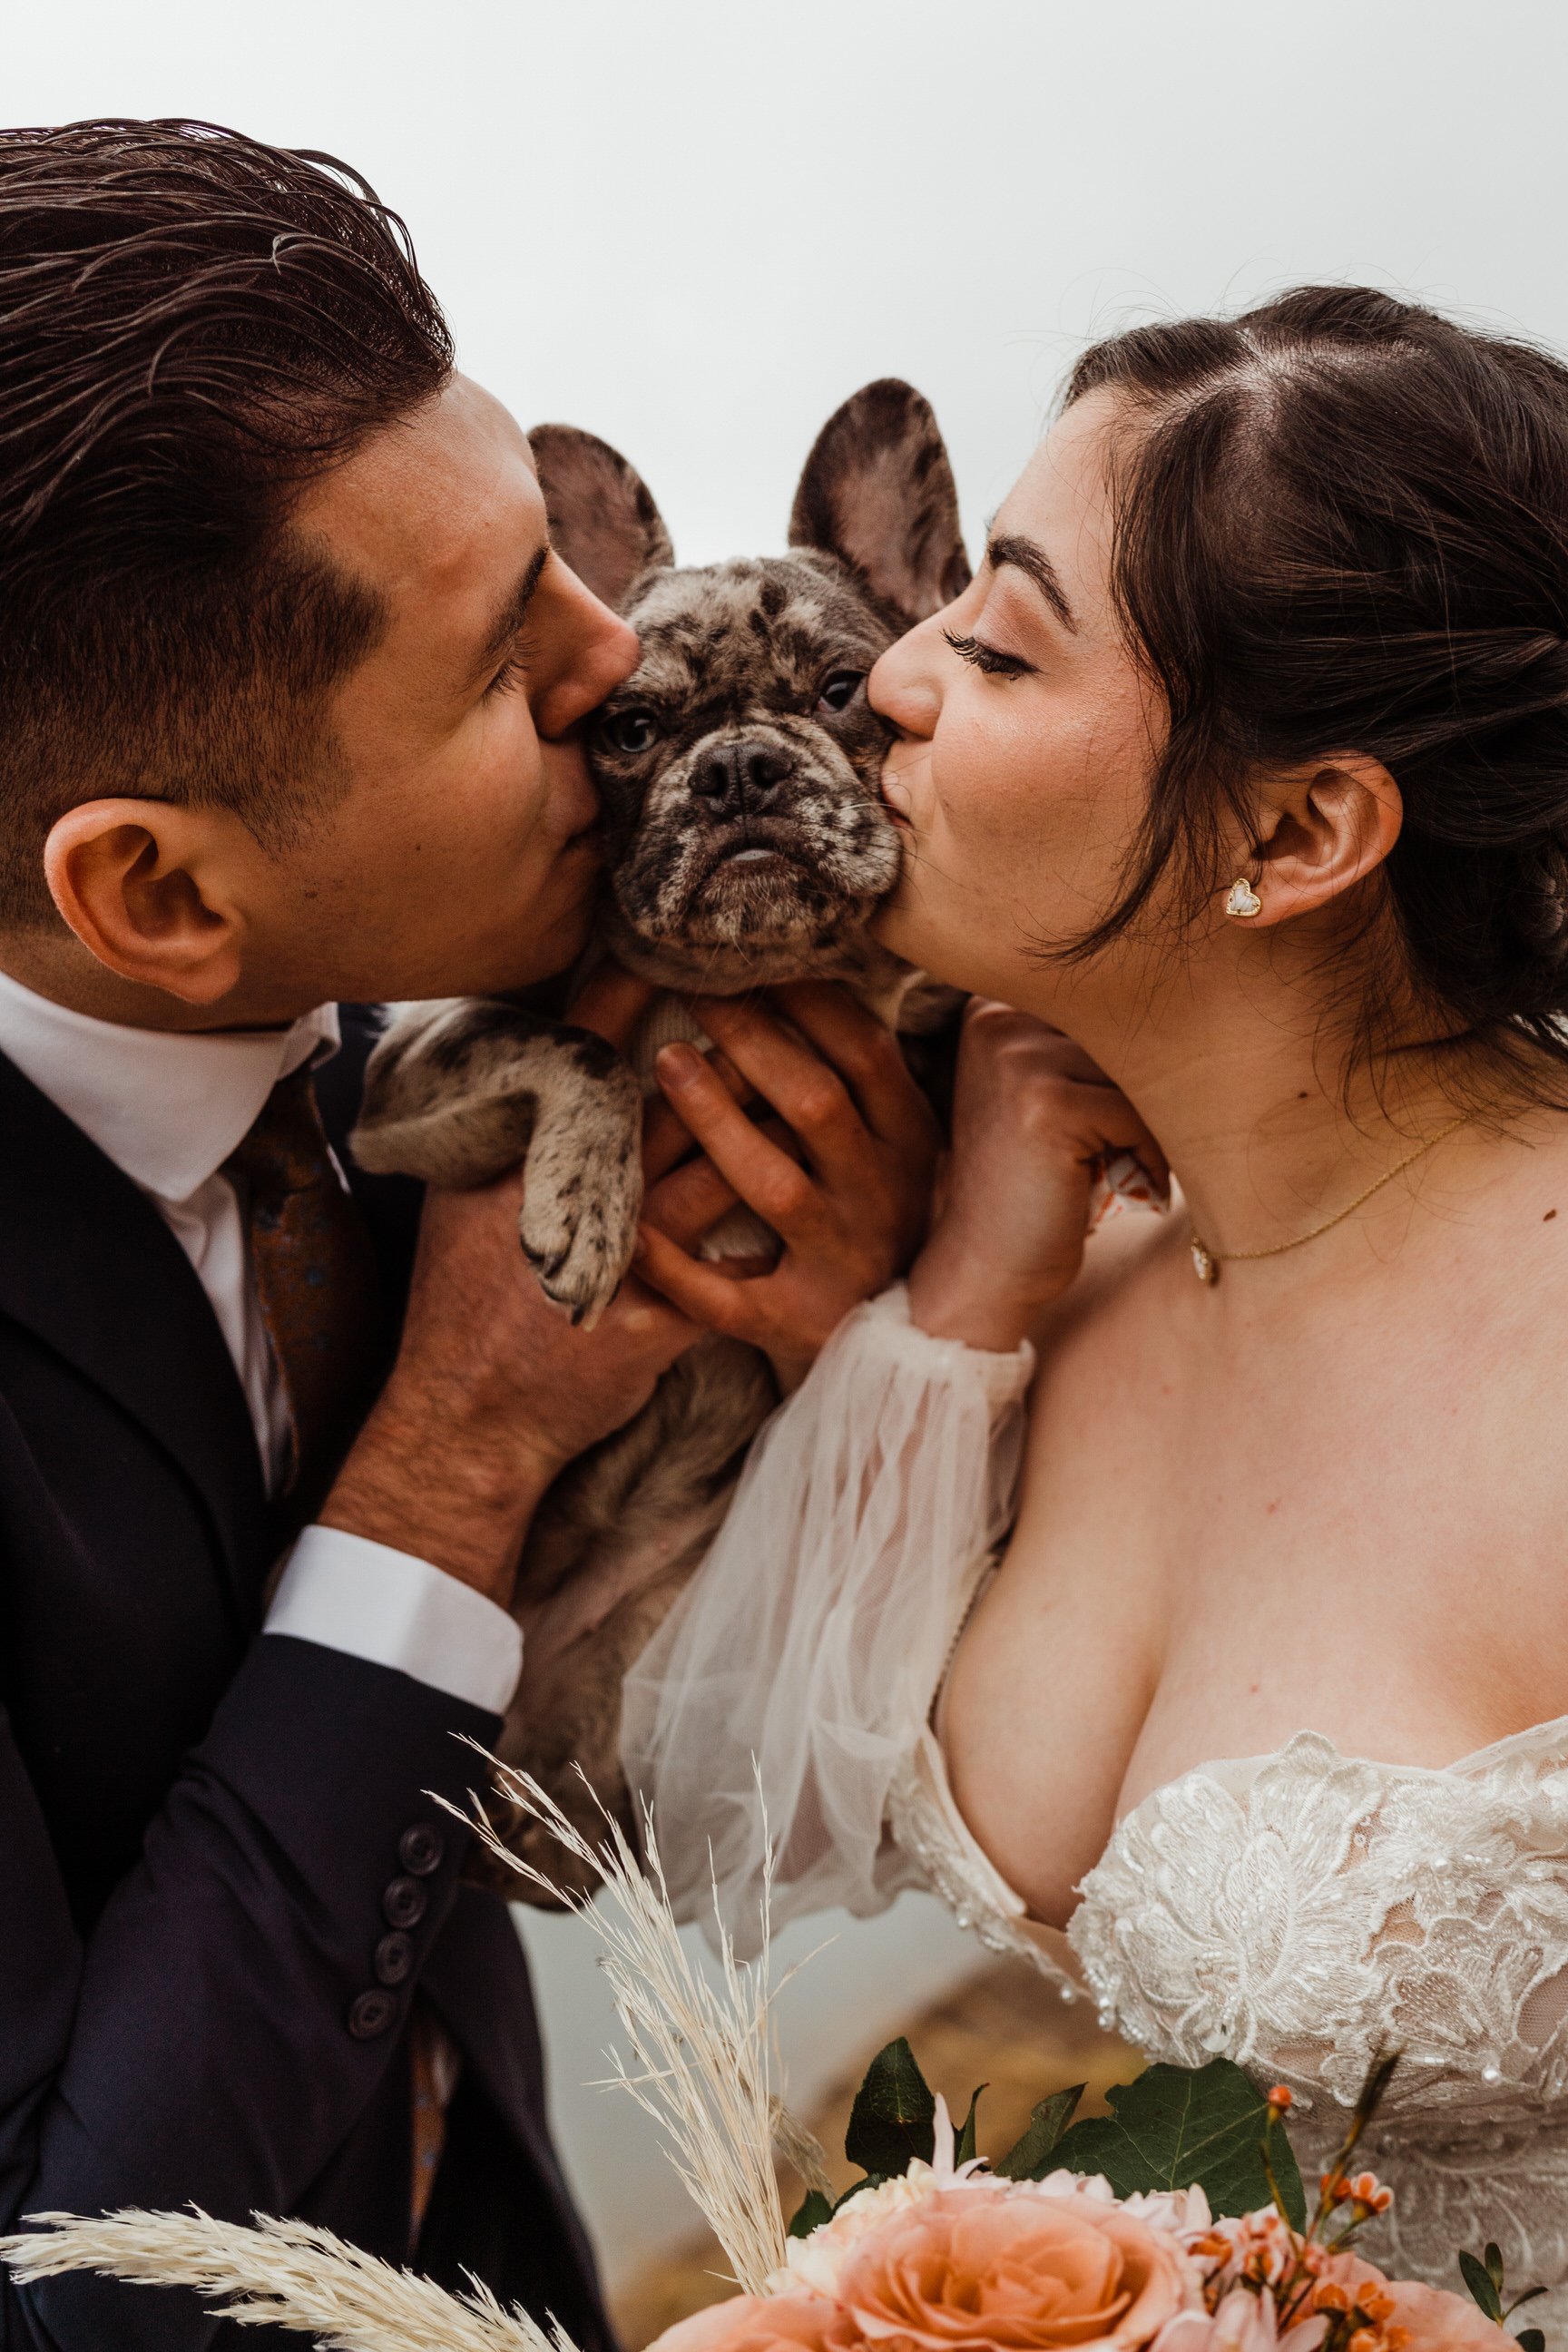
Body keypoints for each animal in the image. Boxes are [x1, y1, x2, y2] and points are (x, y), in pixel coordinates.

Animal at [355, 380, 968, 1890]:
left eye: (843, 691)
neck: (740, 989)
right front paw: (590, 1200)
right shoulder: (406, 1089)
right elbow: (580, 1050)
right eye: (629, 730)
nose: (740, 767)